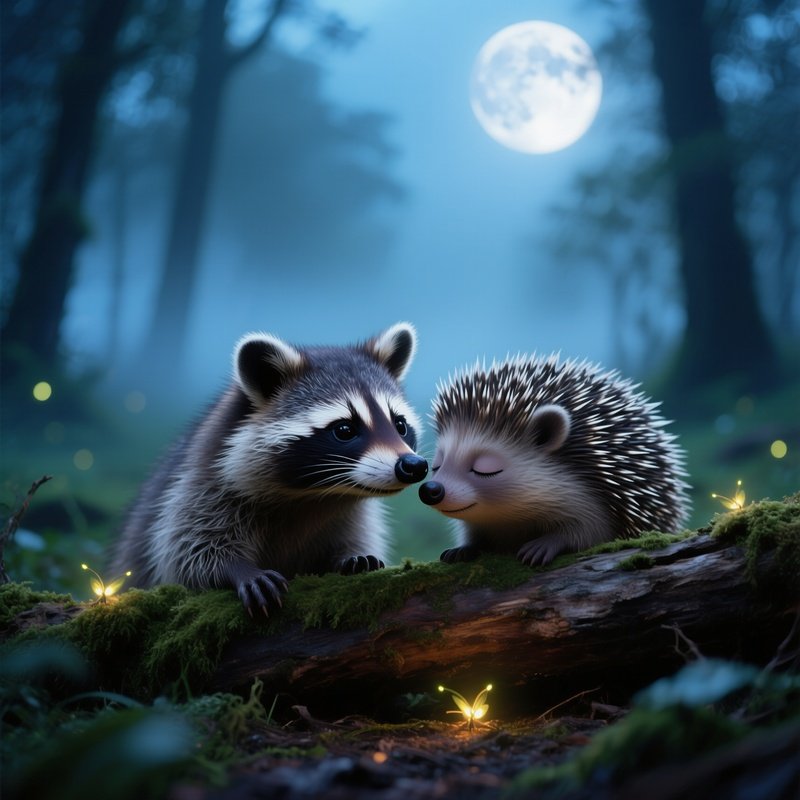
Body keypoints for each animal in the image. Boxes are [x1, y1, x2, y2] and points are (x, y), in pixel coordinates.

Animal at [111, 323, 428, 615]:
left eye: (400, 425)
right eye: (345, 429)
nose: (413, 466)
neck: (315, 494)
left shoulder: (350, 514)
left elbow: (357, 536)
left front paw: (350, 557)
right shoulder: (201, 486)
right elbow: (186, 550)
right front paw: (236, 569)